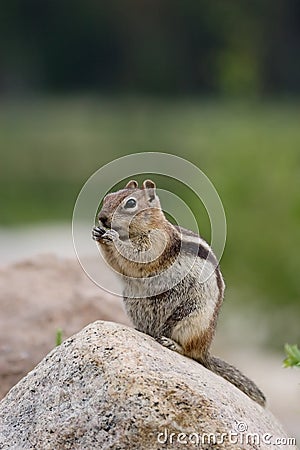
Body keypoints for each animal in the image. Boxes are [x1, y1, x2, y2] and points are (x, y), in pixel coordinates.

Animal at [92, 179, 266, 408]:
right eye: (108, 197)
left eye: (130, 203)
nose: (102, 218)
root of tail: (205, 350)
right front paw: (98, 233)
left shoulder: (157, 243)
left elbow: (137, 255)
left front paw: (112, 237)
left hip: (191, 319)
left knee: (189, 352)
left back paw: (172, 343)